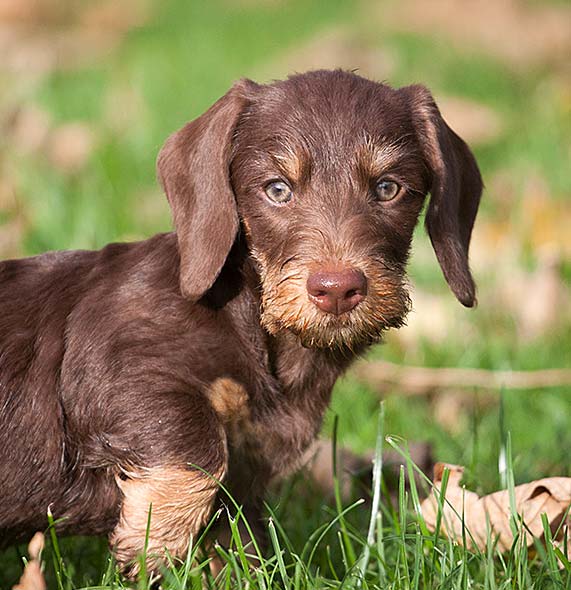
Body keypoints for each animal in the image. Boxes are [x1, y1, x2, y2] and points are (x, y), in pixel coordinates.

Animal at [0, 70, 482, 580]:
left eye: (388, 188)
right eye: (277, 189)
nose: (336, 289)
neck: (253, 322)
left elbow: (240, 537)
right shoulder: (119, 373)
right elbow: (199, 447)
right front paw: (152, 543)